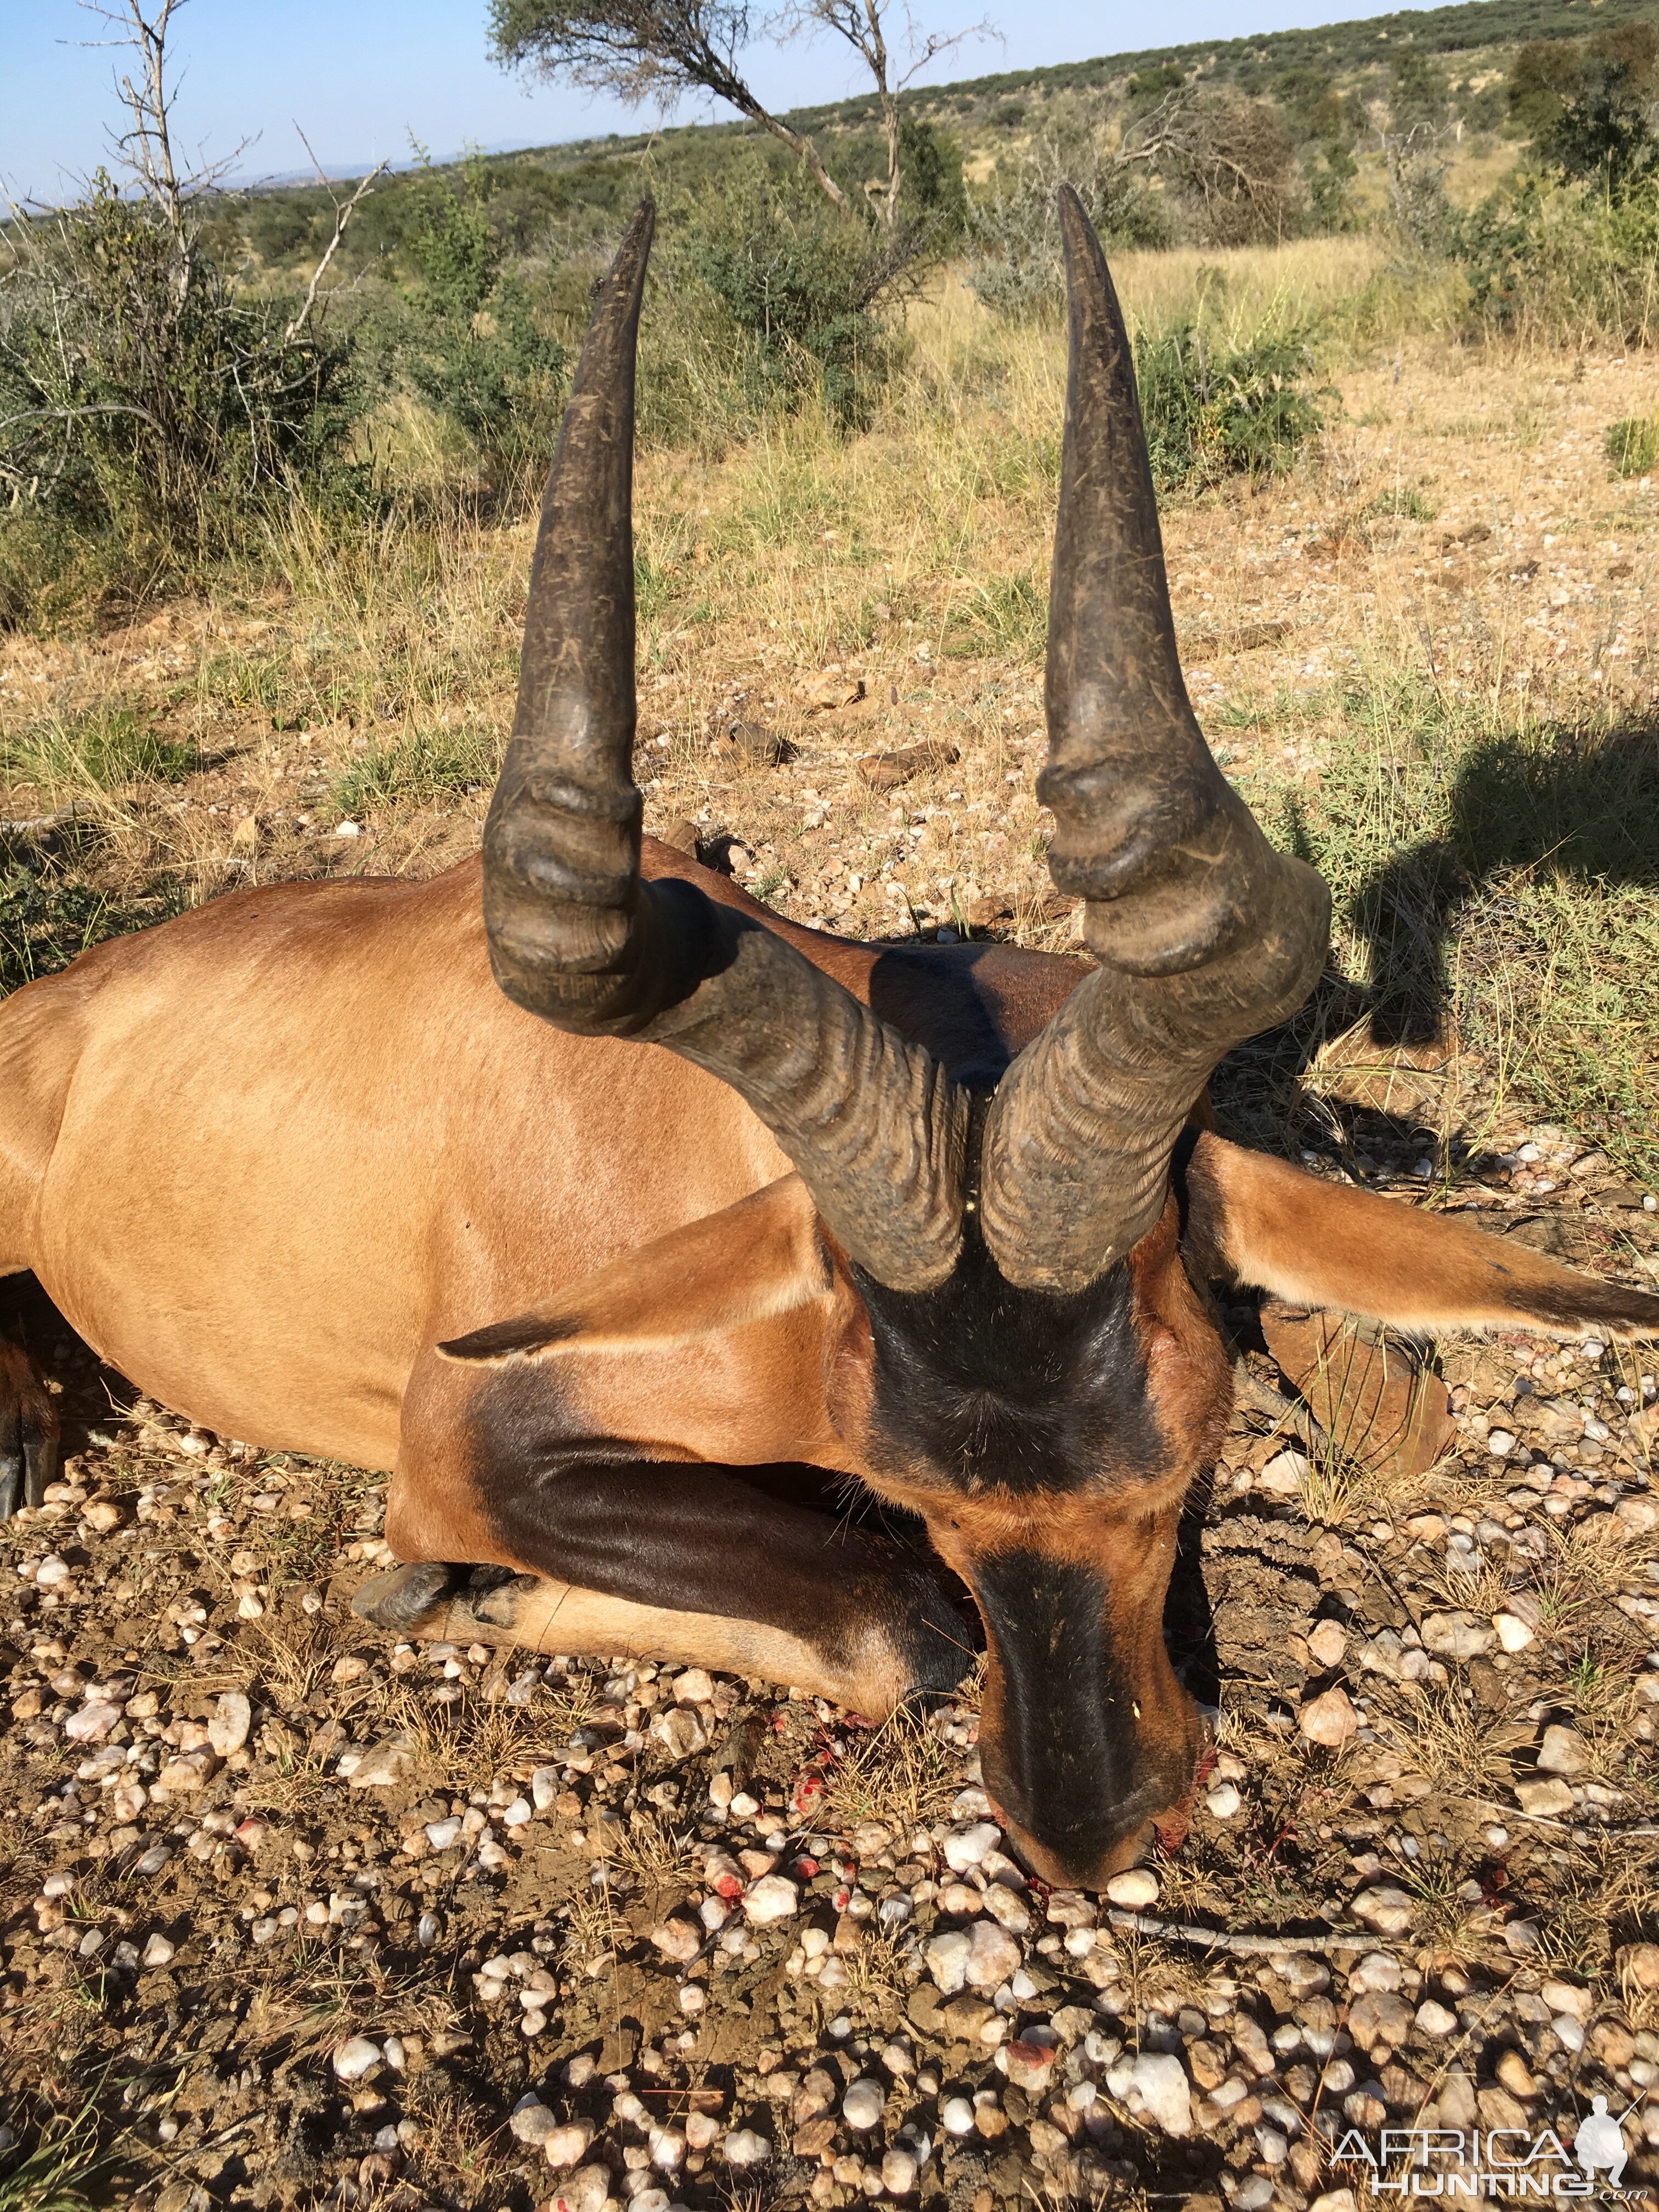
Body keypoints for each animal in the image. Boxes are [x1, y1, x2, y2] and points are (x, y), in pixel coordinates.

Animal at [3, 190, 1659, 1884]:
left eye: (1188, 1454)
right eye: (902, 1483)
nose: (1085, 1833)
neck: (678, 1133)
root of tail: (72, 998)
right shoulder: (458, 1443)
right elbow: (902, 1616)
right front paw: (447, 1586)